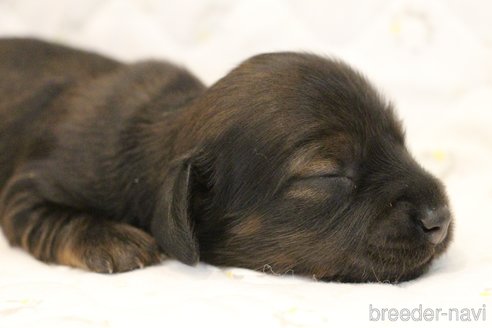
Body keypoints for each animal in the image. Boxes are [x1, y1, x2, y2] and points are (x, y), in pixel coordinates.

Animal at [0, 36, 454, 282]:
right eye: (327, 174)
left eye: (400, 141)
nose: (440, 219)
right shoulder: (31, 186)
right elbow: (44, 214)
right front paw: (111, 238)